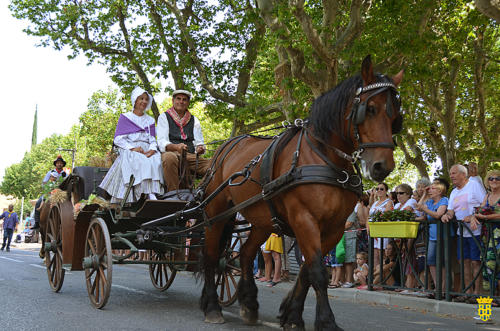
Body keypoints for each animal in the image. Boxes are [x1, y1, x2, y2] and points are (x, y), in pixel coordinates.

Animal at [199, 55, 402, 330]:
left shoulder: (334, 227)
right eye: (369, 109)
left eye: (396, 116)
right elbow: (317, 271)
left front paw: (292, 314)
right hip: (216, 212)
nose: (383, 166)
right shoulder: (304, 219)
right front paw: (325, 321)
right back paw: (212, 306)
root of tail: (225, 147)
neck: (323, 157)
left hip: (262, 220)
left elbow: (308, 270)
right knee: (211, 256)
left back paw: (249, 303)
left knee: (246, 254)